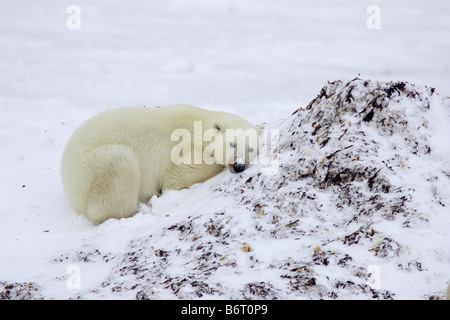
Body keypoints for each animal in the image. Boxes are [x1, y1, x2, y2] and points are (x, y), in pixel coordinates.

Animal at [60, 104, 264, 224]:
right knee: (120, 166)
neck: (198, 124)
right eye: (232, 144)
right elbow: (177, 175)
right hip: (92, 168)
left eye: (250, 149)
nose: (238, 166)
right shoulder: (180, 145)